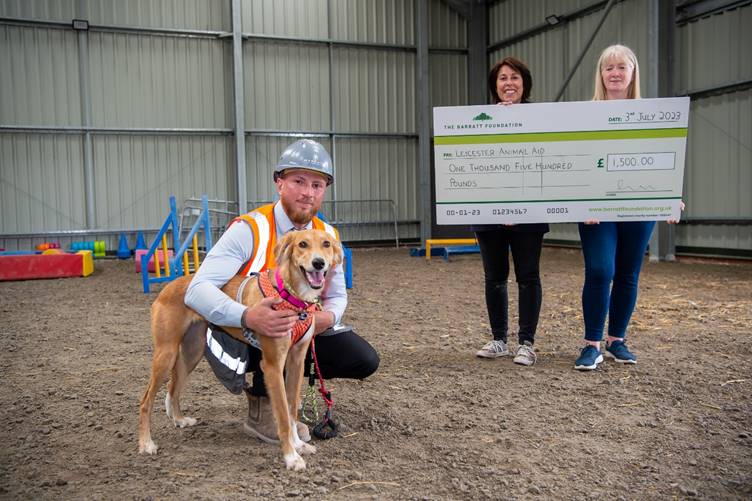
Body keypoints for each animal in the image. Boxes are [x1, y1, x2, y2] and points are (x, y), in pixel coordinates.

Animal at [138, 229, 344, 470]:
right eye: (302, 244)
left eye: (326, 244)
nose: (318, 263)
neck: (291, 296)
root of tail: (171, 285)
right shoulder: (273, 365)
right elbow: (283, 415)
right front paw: (291, 457)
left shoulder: (297, 361)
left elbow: (292, 410)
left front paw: (299, 445)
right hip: (166, 353)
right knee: (146, 400)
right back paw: (146, 443)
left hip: (192, 352)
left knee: (174, 386)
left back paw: (179, 419)